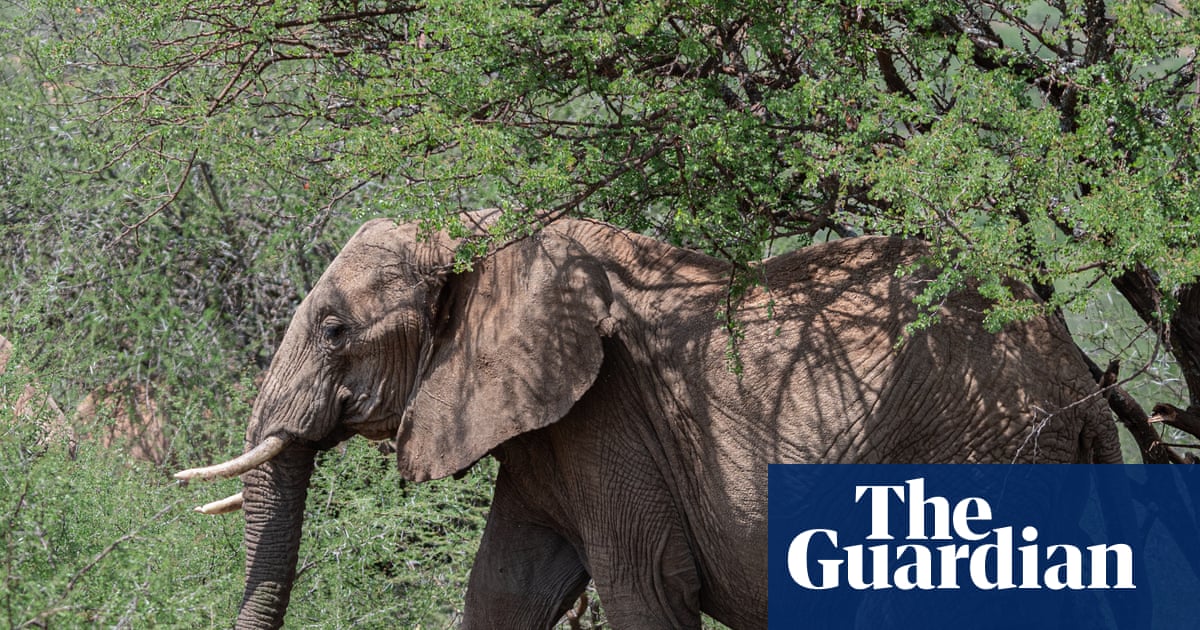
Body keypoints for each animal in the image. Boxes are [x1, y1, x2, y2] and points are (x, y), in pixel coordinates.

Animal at [177, 211, 1121, 629]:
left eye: (335, 330)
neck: (485, 238)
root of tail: (1074, 370)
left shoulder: (610, 419)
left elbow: (646, 587)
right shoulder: (545, 437)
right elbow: (505, 592)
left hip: (984, 448)